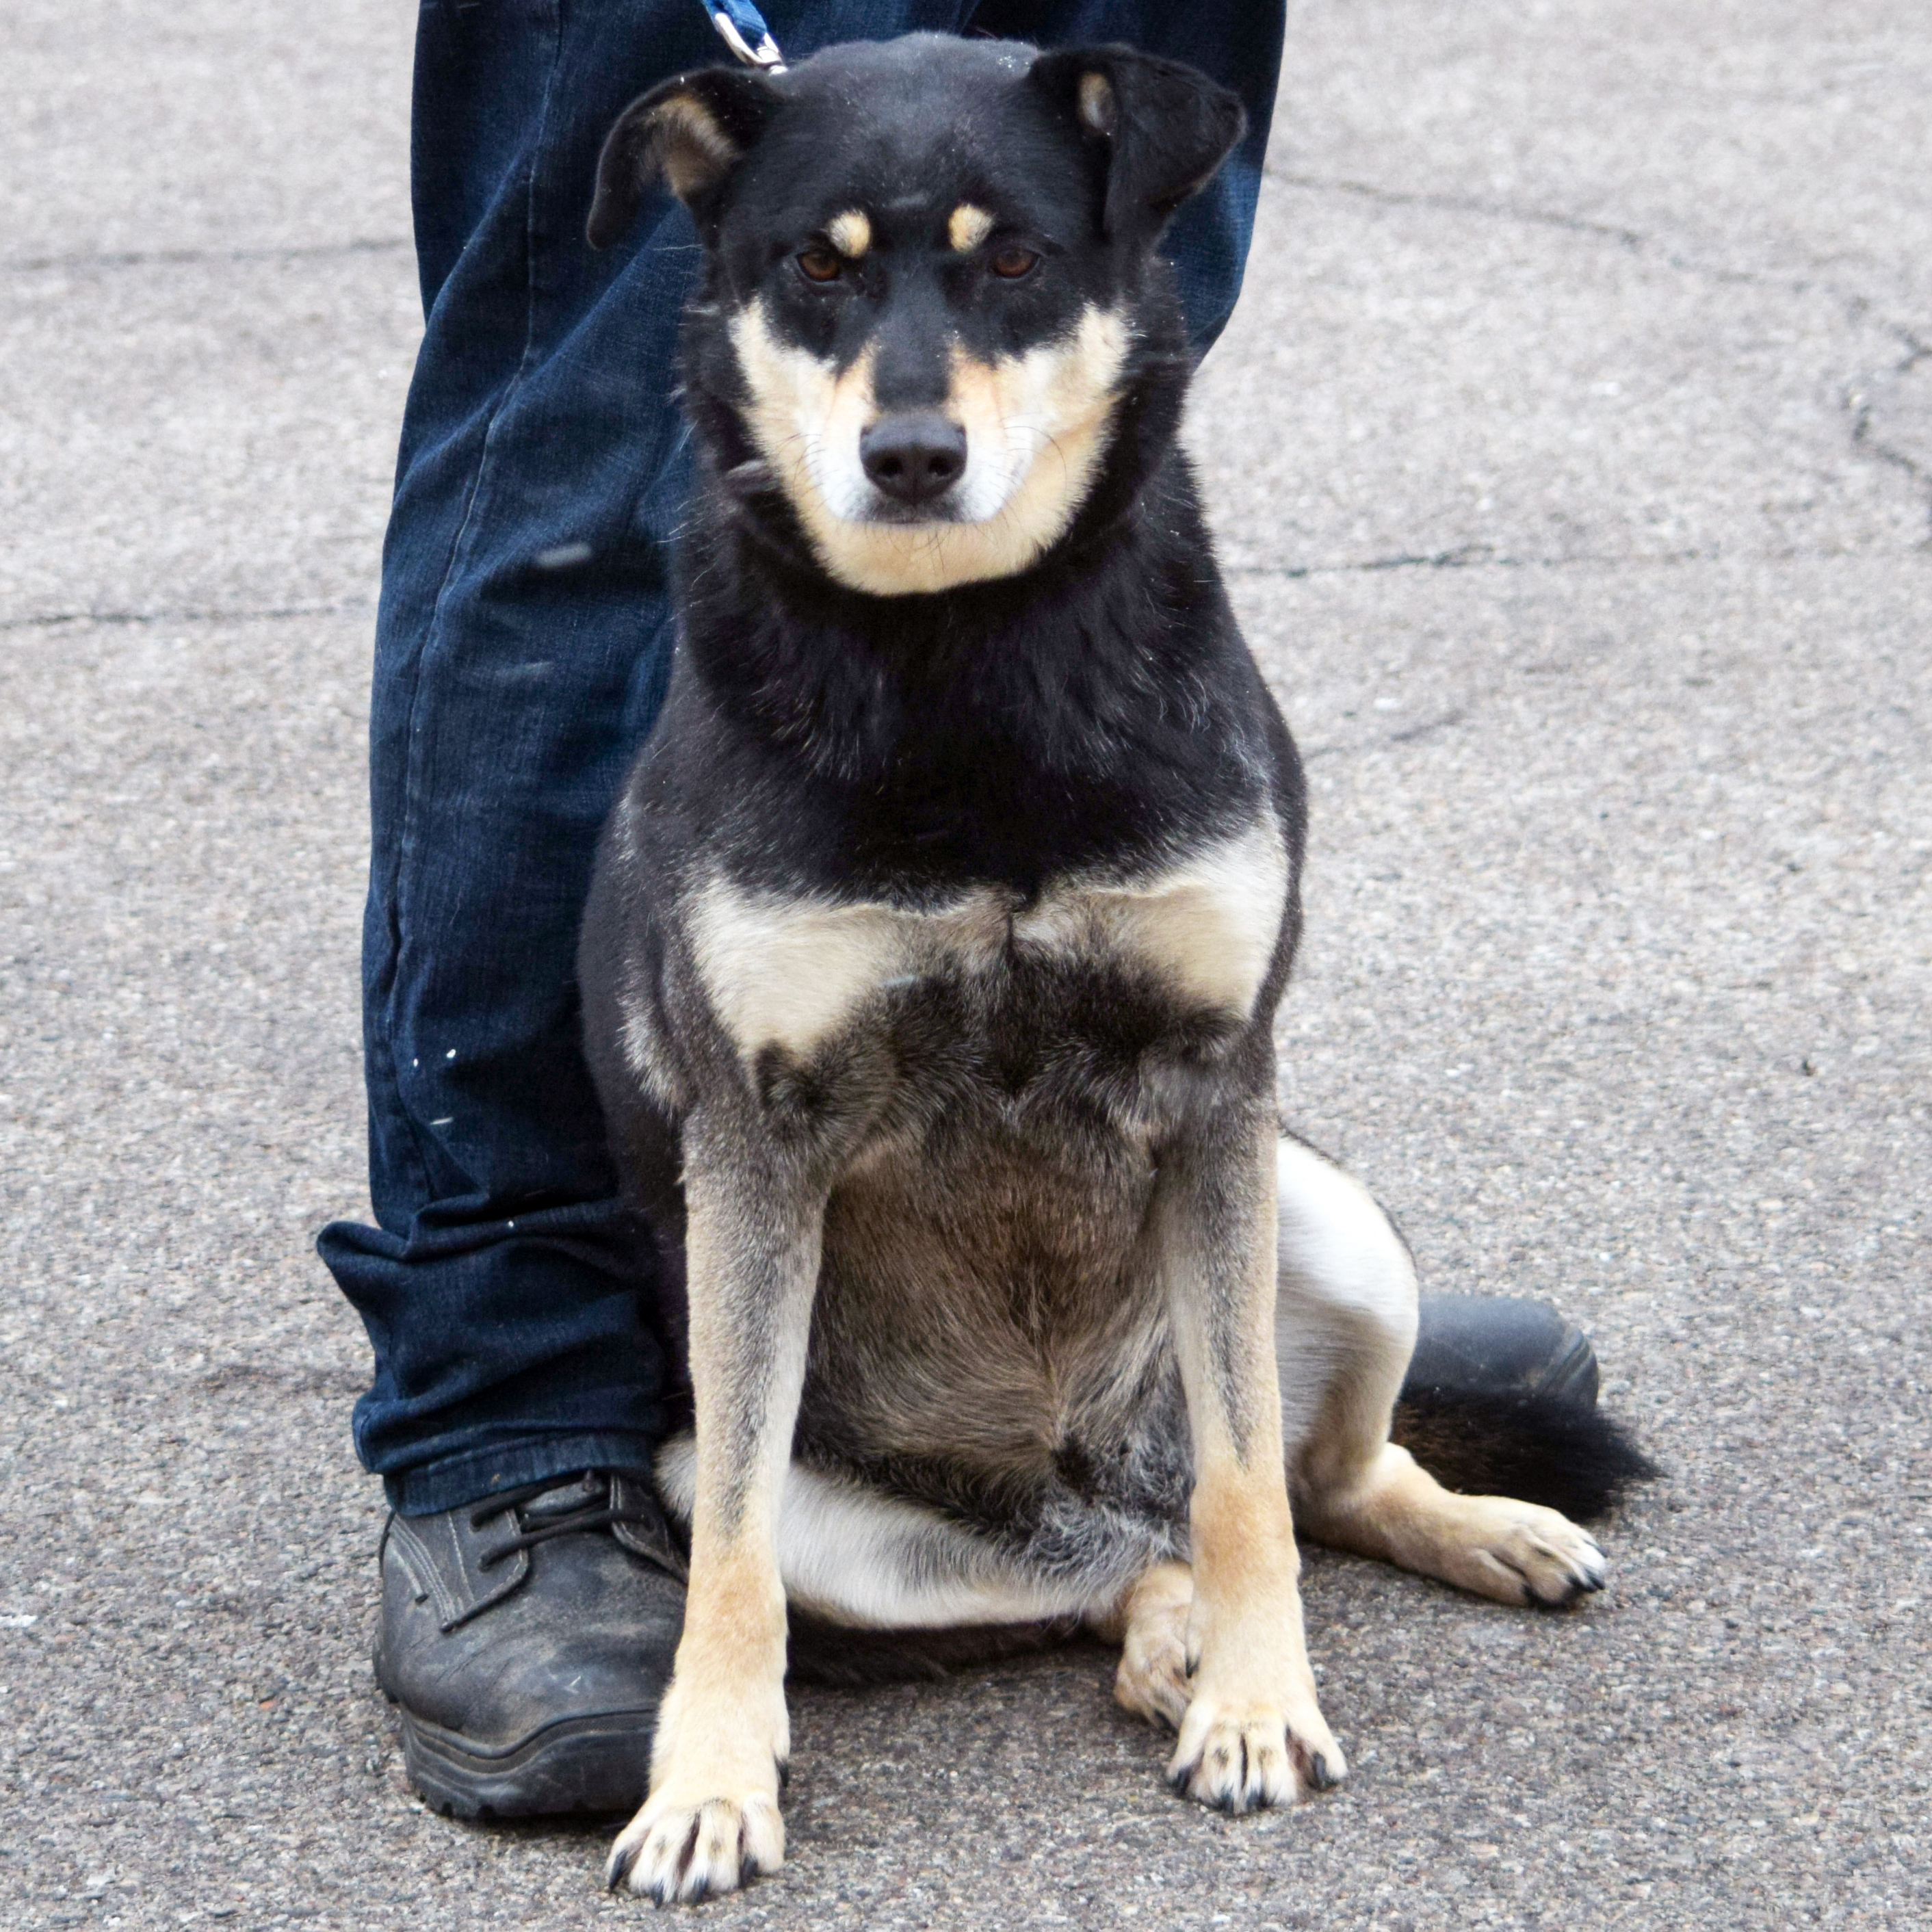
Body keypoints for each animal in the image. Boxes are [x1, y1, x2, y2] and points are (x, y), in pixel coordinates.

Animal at [575, 30, 1646, 1901]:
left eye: (1014, 259)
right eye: (814, 270)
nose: (910, 456)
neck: (967, 646)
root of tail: (1091, 1479)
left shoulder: (1217, 1091)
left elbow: (1246, 1494)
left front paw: (1261, 1706)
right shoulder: (757, 1156)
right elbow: (729, 1569)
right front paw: (703, 1779)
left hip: (1328, 1215)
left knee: (1306, 1478)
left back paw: (1448, 1539)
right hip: (752, 1451)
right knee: (1090, 1573)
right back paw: (1161, 1637)